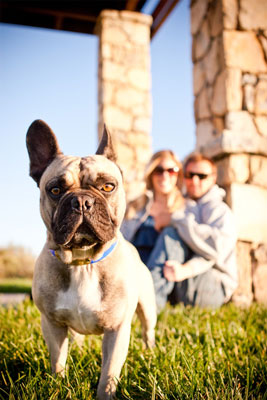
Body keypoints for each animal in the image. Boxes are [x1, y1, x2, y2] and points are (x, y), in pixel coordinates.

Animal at [26, 120, 157, 398]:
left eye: (108, 186)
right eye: (55, 190)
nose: (81, 201)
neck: (82, 262)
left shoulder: (117, 330)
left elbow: (108, 374)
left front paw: (105, 393)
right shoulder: (52, 324)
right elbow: (58, 362)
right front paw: (59, 387)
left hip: (147, 307)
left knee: (148, 330)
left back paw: (150, 353)